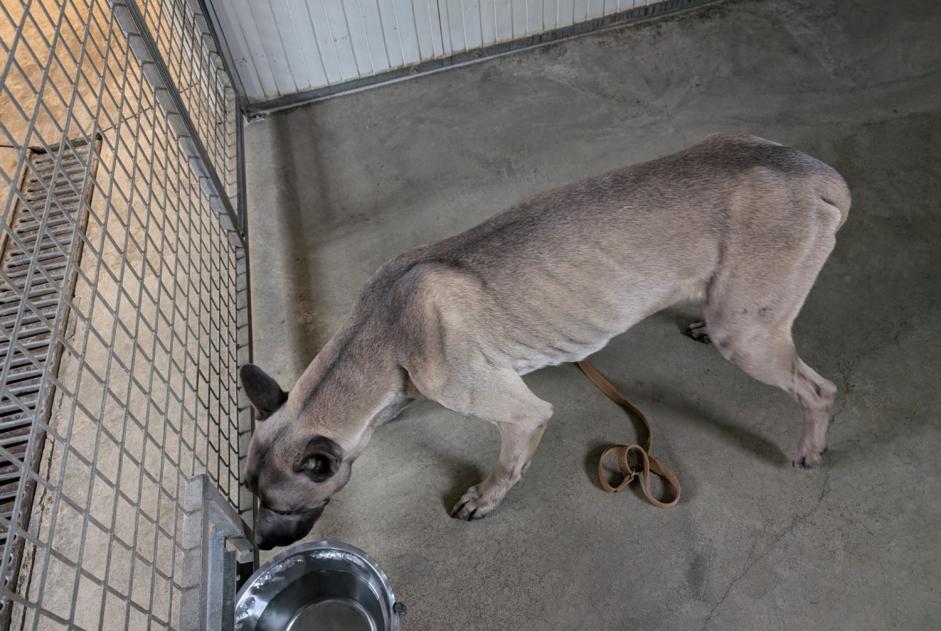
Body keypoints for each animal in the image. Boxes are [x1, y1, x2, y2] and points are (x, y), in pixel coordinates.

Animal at [239, 133, 848, 548]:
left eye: (286, 505)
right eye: (251, 495)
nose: (260, 545)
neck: (380, 332)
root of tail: (815, 173)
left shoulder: (522, 414)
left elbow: (509, 464)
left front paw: (485, 498)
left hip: (745, 337)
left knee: (819, 392)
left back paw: (810, 447)